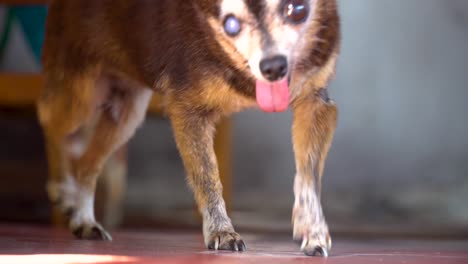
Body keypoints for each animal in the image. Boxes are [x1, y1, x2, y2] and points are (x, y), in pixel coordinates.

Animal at [36, 0, 342, 256]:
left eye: (297, 10)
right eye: (230, 23)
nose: (274, 68)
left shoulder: (316, 104)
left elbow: (308, 176)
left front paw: (312, 229)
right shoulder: (189, 111)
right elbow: (208, 177)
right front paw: (222, 232)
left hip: (127, 112)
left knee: (87, 163)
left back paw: (83, 219)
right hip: (80, 98)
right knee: (50, 120)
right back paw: (62, 189)